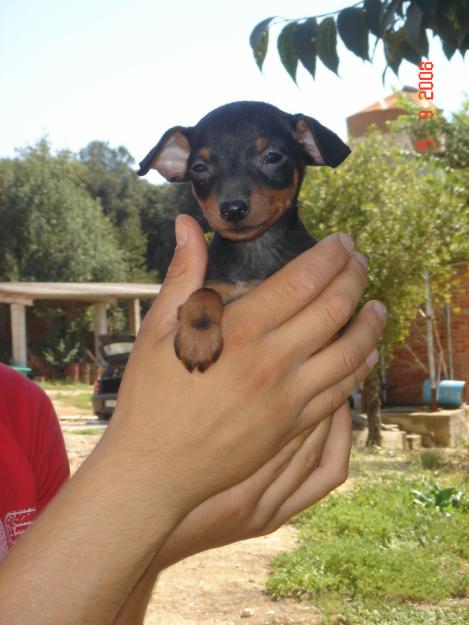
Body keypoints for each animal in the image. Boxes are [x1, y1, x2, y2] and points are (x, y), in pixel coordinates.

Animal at [137, 99, 350, 368]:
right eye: (198, 167)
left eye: (272, 157)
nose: (233, 209)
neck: (255, 247)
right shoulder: (212, 286)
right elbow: (204, 293)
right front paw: (198, 338)